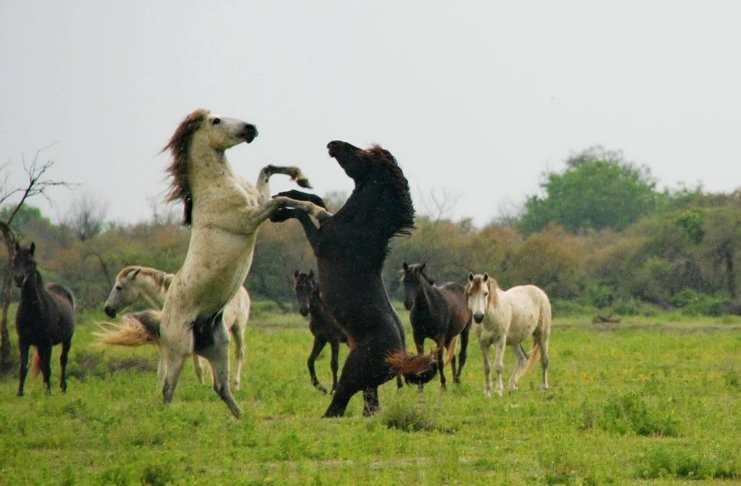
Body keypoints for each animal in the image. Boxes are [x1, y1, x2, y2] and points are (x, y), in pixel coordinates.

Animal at [11, 241, 74, 396]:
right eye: (14, 260)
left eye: (31, 262)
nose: (19, 278)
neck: (32, 312)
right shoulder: (23, 341)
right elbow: (23, 367)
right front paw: (20, 393)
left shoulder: (47, 342)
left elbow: (48, 367)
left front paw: (48, 393)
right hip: (39, 346)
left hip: (67, 339)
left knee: (63, 360)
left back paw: (62, 387)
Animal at [101, 264, 251, 390]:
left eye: (119, 287)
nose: (107, 309)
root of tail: (243, 291)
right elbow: (163, 369)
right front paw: (158, 391)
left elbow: (197, 366)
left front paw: (201, 385)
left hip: (238, 328)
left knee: (240, 353)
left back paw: (235, 385)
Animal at [158, 110, 326, 418]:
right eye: (215, 121)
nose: (251, 128)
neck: (218, 187)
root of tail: (162, 319)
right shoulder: (251, 216)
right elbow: (282, 200)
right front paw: (319, 210)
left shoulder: (257, 202)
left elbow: (267, 170)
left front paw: (302, 178)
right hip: (180, 351)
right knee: (167, 390)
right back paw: (167, 419)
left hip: (219, 347)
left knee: (220, 387)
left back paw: (242, 418)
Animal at [270, 140, 434, 418]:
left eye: (365, 155)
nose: (333, 144)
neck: (360, 229)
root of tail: (397, 359)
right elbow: (319, 202)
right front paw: (287, 191)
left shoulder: (320, 241)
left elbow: (304, 215)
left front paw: (279, 211)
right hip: (369, 386)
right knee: (370, 408)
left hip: (352, 374)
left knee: (337, 405)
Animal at [402, 260, 472, 390]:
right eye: (404, 280)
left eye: (417, 282)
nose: (408, 304)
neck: (428, 309)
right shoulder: (418, 337)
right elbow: (420, 360)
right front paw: (420, 388)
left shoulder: (439, 338)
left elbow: (440, 361)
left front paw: (443, 385)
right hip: (449, 337)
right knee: (453, 357)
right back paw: (454, 381)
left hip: (465, 331)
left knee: (462, 356)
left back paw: (457, 381)